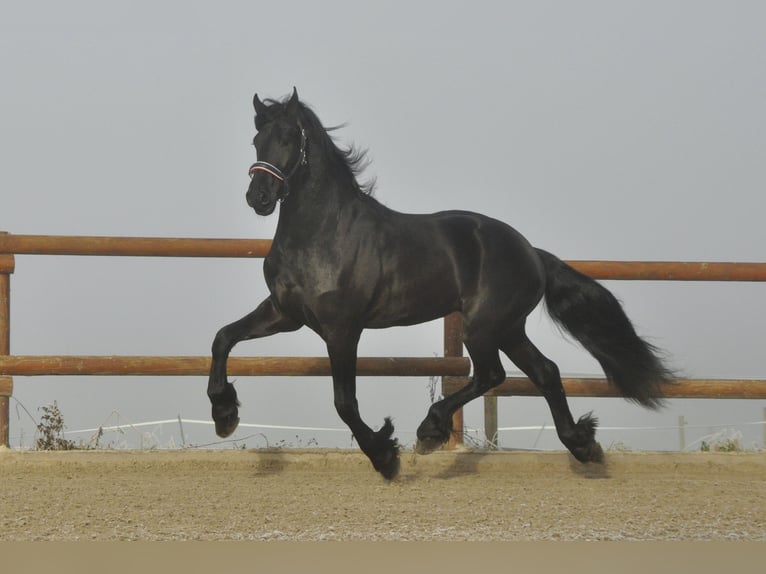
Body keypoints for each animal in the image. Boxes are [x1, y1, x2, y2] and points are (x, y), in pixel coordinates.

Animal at [208, 88, 672, 480]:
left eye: (289, 138)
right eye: (256, 141)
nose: (259, 198)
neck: (323, 234)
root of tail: (530, 251)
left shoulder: (342, 329)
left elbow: (344, 402)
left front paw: (385, 455)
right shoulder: (284, 313)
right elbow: (223, 338)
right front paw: (224, 414)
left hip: (484, 327)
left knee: (491, 375)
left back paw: (429, 431)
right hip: (508, 328)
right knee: (545, 372)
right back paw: (582, 445)